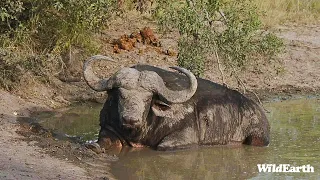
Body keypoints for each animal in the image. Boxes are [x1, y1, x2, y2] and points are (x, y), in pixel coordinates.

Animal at [83, 54, 270, 150]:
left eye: (147, 98)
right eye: (121, 95)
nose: (130, 119)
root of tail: (260, 112)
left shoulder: (185, 138)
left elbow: (162, 146)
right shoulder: (108, 127)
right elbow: (103, 142)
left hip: (258, 138)